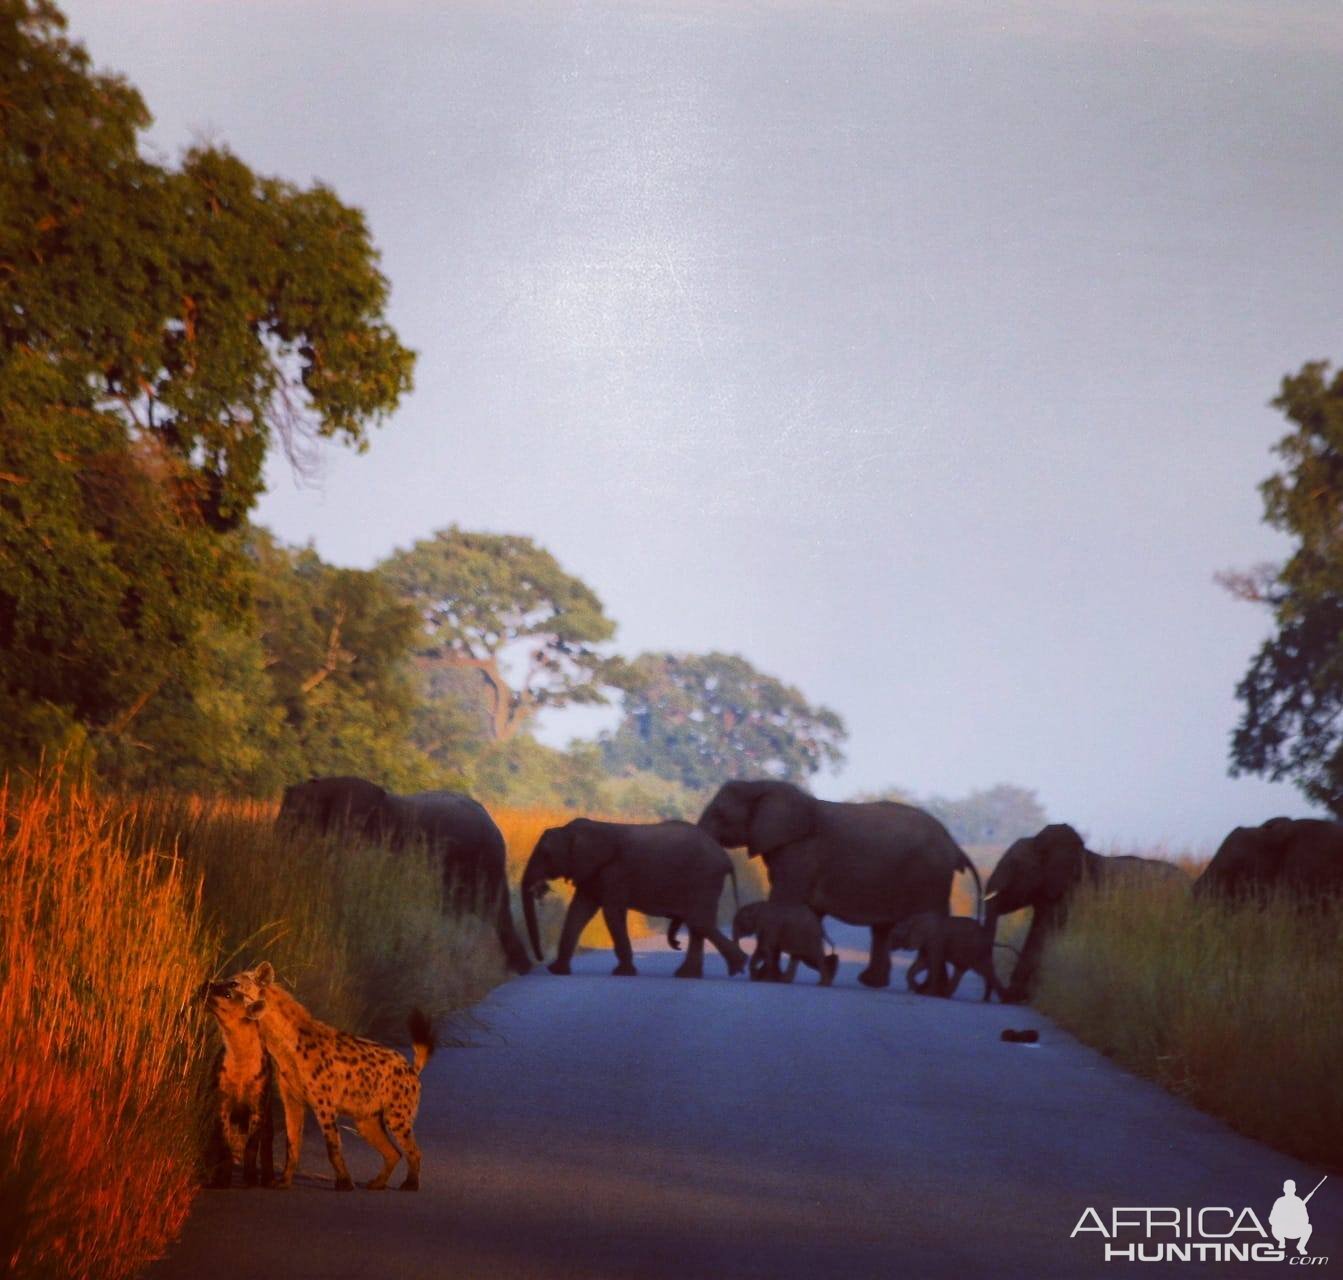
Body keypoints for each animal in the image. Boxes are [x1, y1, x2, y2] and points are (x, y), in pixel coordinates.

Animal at [521, 816, 752, 977]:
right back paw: (691, 974)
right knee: (699, 923)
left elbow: (612, 912)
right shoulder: (592, 873)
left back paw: (738, 965)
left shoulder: (613, 872)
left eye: (546, 854)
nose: (539, 959)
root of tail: (726, 858)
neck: (574, 830)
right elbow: (578, 911)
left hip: (704, 878)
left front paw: (622, 973)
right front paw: (557, 971)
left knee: (699, 921)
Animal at [692, 773, 977, 993]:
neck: (761, 785)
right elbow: (808, 912)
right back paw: (878, 983)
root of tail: (954, 846)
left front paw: (768, 977)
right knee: (883, 928)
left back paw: (932, 991)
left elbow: (784, 901)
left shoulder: (800, 852)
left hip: (932, 878)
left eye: (720, 813)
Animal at [977, 821, 1187, 1004]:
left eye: (1015, 866)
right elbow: (1037, 931)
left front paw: (1020, 995)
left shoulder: (1074, 893)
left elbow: (1044, 933)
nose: (990, 997)